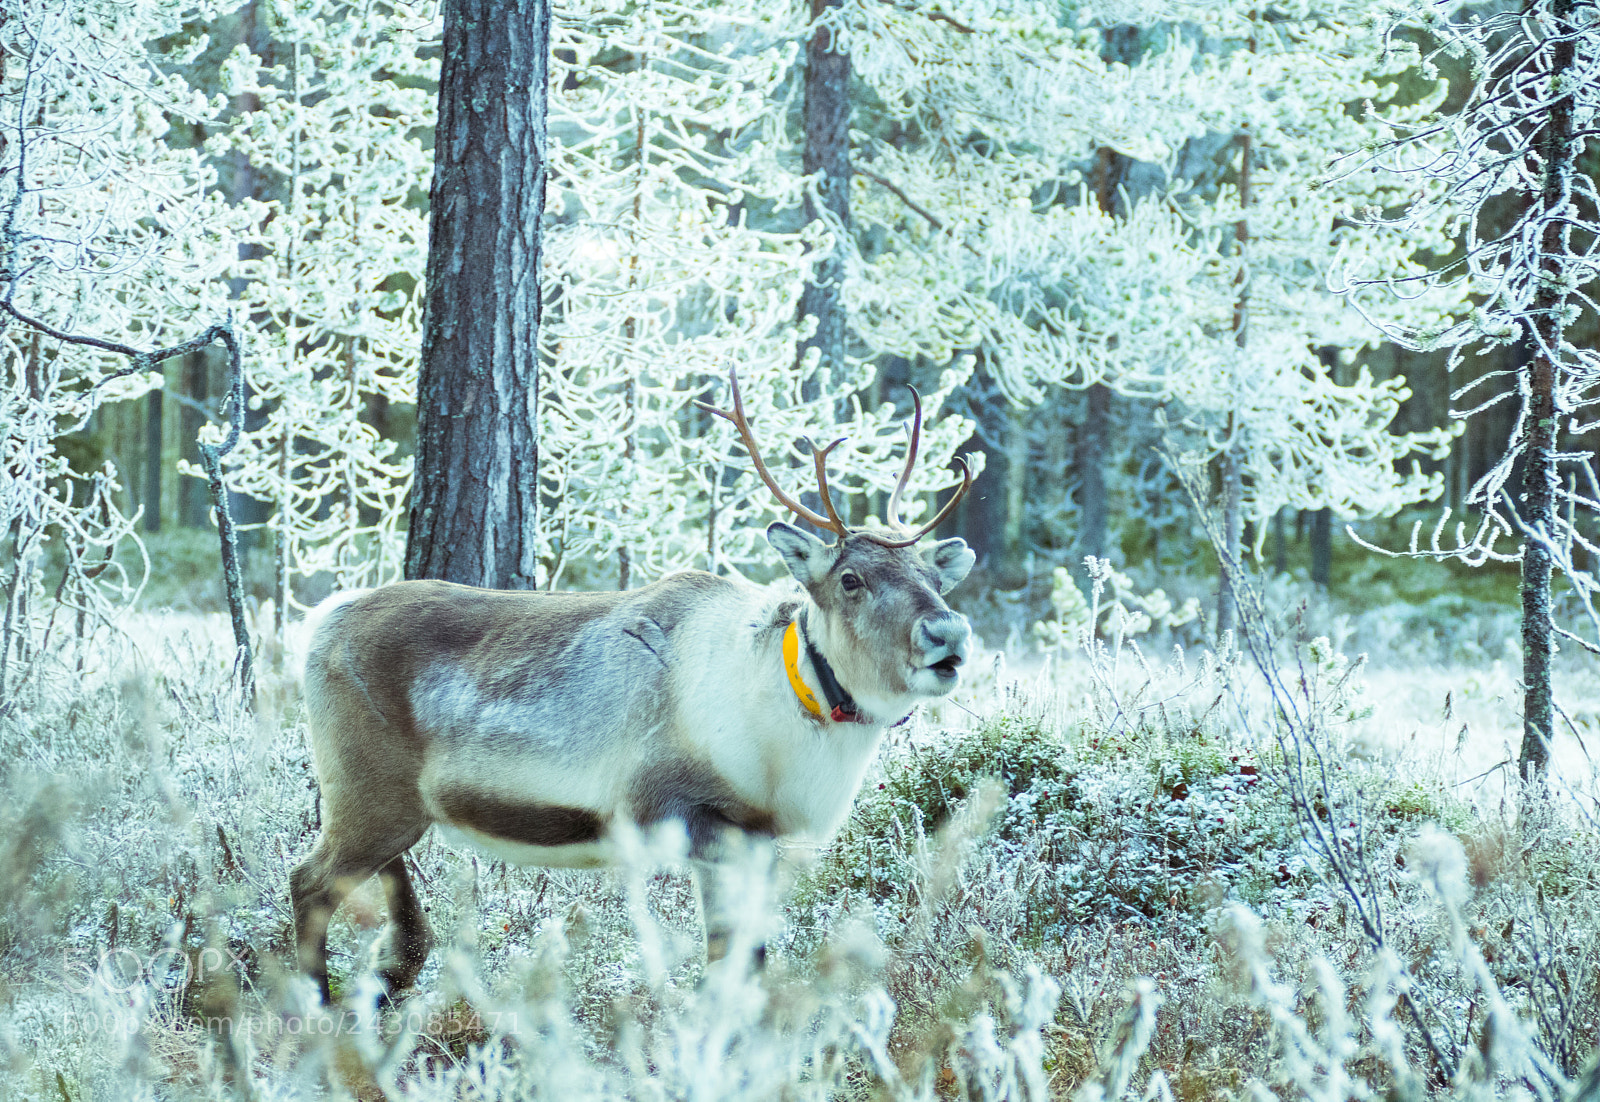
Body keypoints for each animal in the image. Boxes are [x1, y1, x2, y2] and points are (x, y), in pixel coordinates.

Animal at [291, 369, 977, 1003]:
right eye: (851, 579)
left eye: (934, 577)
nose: (949, 632)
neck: (781, 717)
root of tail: (321, 619)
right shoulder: (682, 813)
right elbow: (727, 960)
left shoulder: (759, 839)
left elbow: (746, 958)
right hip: (367, 791)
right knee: (309, 882)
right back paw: (318, 1006)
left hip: (391, 803)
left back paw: (390, 972)